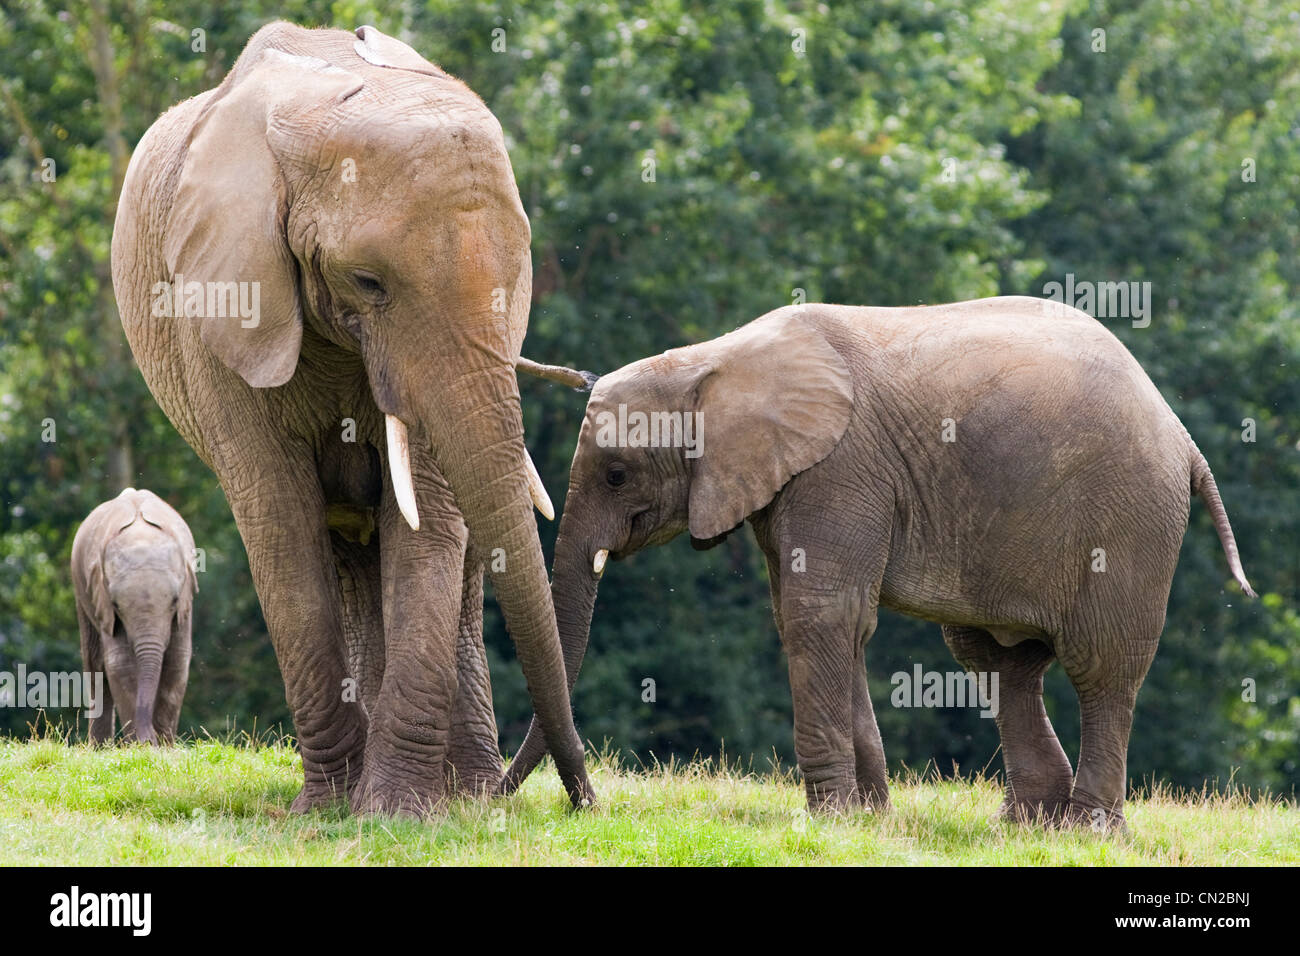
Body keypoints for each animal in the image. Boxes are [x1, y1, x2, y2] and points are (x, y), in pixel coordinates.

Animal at [70, 489, 195, 743]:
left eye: (175, 601)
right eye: (116, 605)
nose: (149, 738)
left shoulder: (185, 607)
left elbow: (177, 659)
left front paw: (164, 745)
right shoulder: (103, 602)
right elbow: (120, 663)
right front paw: (143, 746)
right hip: (81, 591)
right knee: (95, 665)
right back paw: (99, 747)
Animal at [111, 22, 595, 816]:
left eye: (518, 280)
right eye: (368, 283)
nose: (585, 800)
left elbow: (429, 518)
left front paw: (397, 812)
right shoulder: (220, 312)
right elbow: (281, 524)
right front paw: (332, 809)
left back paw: (464, 791)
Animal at [501, 299, 1253, 832]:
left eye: (617, 474)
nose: (583, 806)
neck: (713, 362)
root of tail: (1183, 437)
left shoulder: (838, 466)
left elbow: (820, 615)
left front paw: (831, 818)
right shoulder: (792, 479)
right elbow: (828, 621)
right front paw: (870, 818)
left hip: (1128, 519)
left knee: (1102, 668)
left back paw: (1086, 832)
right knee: (1001, 662)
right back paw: (1025, 825)